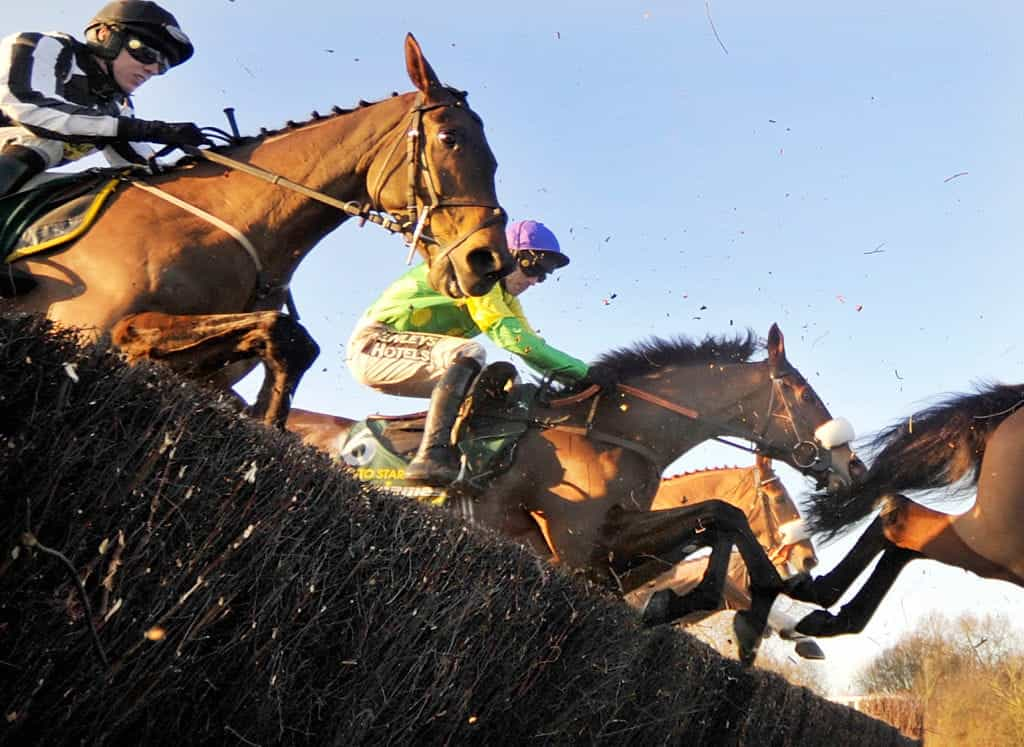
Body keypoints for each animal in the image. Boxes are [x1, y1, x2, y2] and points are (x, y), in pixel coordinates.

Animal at [0, 34, 512, 426]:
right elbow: (283, 333)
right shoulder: (90, 326)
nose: (489, 261)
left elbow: (292, 344)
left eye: (495, 157)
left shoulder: (205, 373)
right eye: (450, 139)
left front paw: (269, 425)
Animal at [286, 323, 864, 659]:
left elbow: (720, 516)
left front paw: (703, 602)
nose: (852, 466)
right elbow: (724, 516)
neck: (611, 434)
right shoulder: (580, 552)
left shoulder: (610, 547)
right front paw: (747, 606)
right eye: (805, 395)